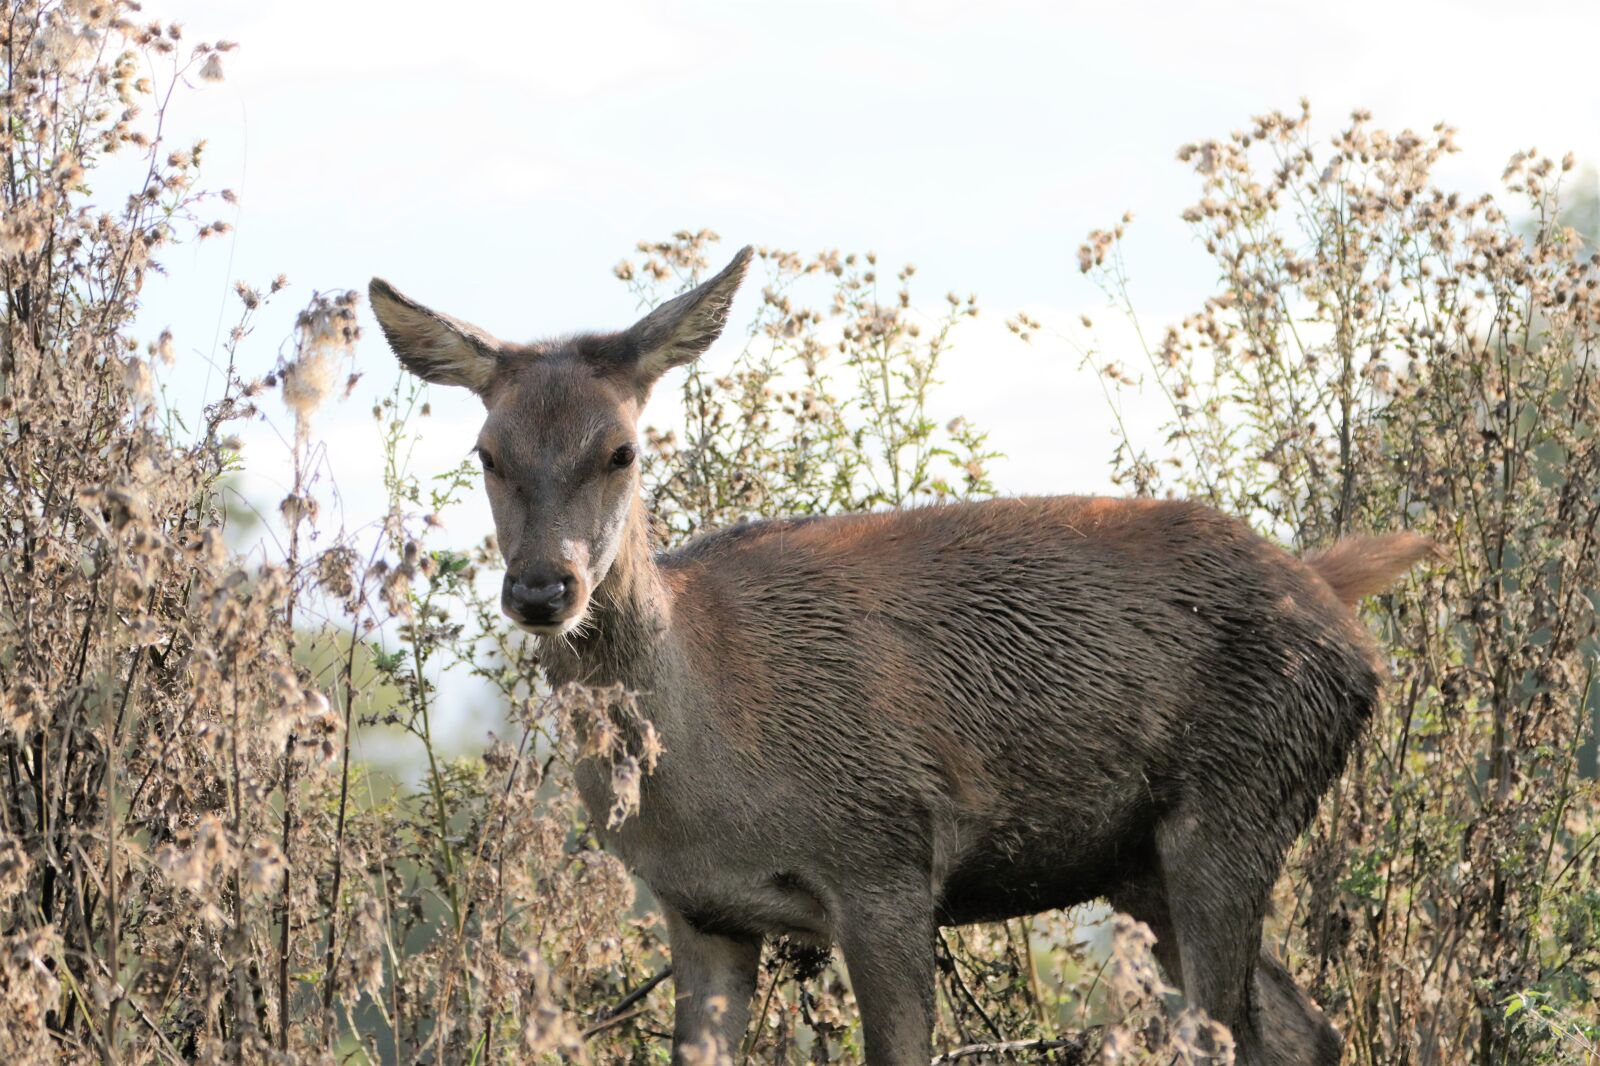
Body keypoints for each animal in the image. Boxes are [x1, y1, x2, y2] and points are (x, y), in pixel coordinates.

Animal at [368, 244, 1433, 1056]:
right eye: (487, 454)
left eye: (621, 450)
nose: (543, 589)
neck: (706, 769)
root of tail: (1340, 610)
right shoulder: (700, 908)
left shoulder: (882, 850)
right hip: (1144, 864)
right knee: (1305, 1031)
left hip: (1240, 795)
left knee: (1232, 1033)